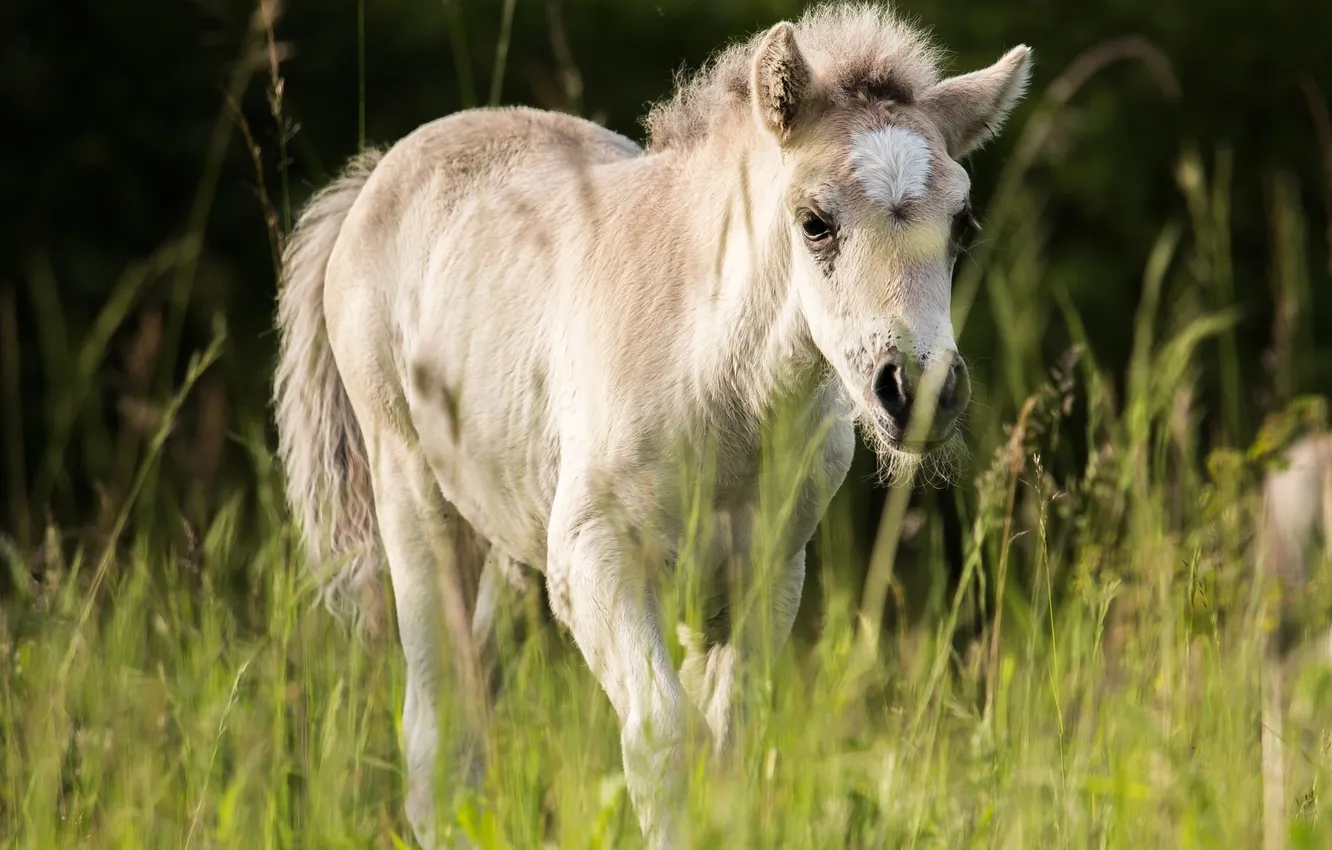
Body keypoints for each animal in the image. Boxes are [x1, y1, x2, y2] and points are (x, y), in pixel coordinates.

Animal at [272, 3, 1032, 846]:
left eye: (963, 225)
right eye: (815, 222)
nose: (918, 392)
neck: (719, 390)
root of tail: (378, 174)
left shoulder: (765, 573)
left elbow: (729, 743)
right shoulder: (594, 558)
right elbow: (664, 740)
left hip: (514, 537)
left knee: (477, 702)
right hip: (412, 495)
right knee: (435, 733)